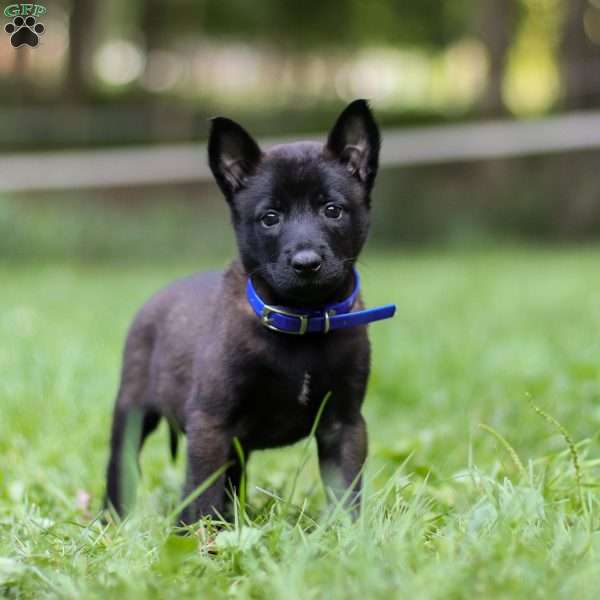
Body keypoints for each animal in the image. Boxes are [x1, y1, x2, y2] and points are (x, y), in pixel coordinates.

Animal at [104, 101, 394, 524]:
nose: (306, 263)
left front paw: (351, 534)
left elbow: (347, 492)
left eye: (332, 210)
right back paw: (112, 520)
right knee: (120, 468)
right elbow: (201, 495)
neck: (302, 322)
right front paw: (199, 539)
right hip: (132, 412)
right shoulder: (211, 424)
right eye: (270, 217)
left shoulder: (344, 423)